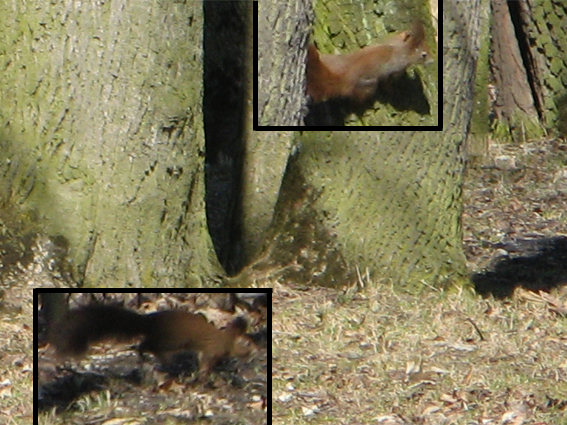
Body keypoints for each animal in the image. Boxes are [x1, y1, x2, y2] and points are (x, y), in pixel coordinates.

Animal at [48, 304, 258, 378]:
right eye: (248, 344)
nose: (256, 352)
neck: (226, 339)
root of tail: (148, 321)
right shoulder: (212, 349)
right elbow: (206, 362)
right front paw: (204, 374)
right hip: (169, 340)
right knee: (146, 345)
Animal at [306, 21, 434, 104]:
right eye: (424, 55)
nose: (432, 61)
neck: (402, 50)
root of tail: (343, 77)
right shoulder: (394, 68)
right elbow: (388, 81)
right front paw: (392, 90)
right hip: (367, 85)